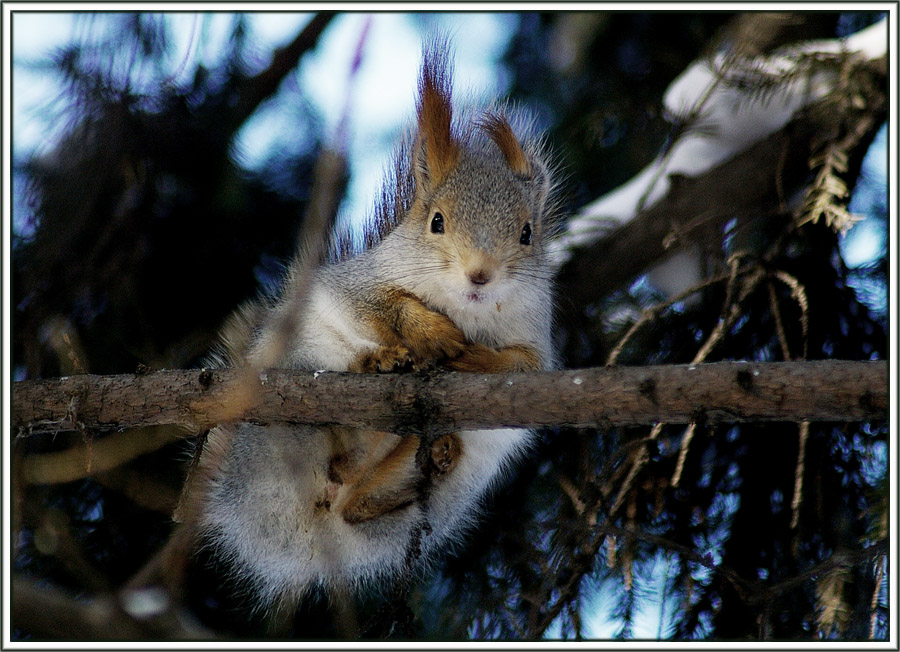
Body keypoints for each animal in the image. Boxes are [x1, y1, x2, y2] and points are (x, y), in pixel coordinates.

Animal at [190, 39, 556, 612]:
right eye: (436, 221)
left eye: (526, 233)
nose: (480, 275)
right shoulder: (354, 285)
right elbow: (383, 309)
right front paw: (429, 334)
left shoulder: (536, 342)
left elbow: (522, 365)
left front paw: (473, 355)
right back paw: (377, 367)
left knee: (358, 504)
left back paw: (432, 454)